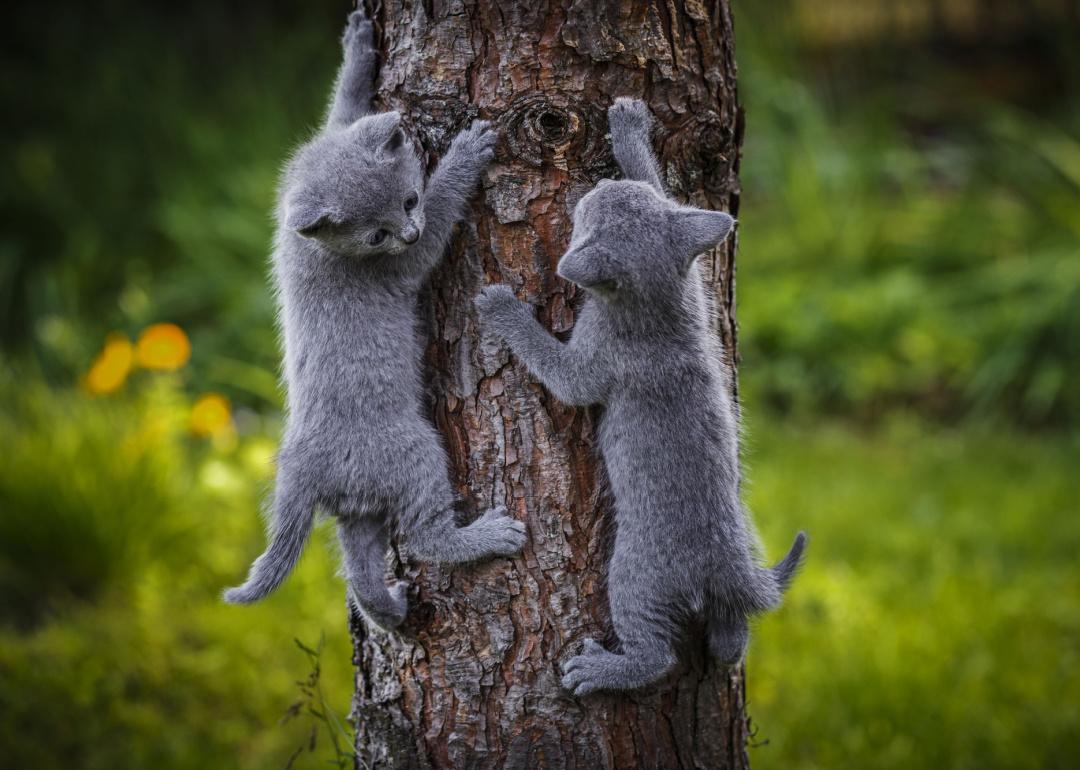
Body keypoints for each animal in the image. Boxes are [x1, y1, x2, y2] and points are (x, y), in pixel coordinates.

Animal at [226, 9, 527, 626]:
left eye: (407, 201)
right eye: (377, 235)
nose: (406, 231)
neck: (312, 245)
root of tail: (302, 463)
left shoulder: (334, 129)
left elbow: (344, 104)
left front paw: (360, 44)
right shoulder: (404, 265)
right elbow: (441, 216)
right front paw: (466, 153)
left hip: (358, 508)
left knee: (361, 571)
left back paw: (389, 608)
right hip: (414, 452)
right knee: (425, 535)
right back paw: (486, 536)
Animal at [477, 99, 807, 695]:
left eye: (587, 213)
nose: (601, 180)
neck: (658, 306)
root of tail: (729, 564)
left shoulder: (589, 367)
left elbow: (559, 370)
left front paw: (502, 308)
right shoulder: (696, 281)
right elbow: (666, 190)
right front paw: (631, 130)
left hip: (633, 577)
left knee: (658, 656)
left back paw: (604, 669)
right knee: (730, 634)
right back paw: (729, 641)